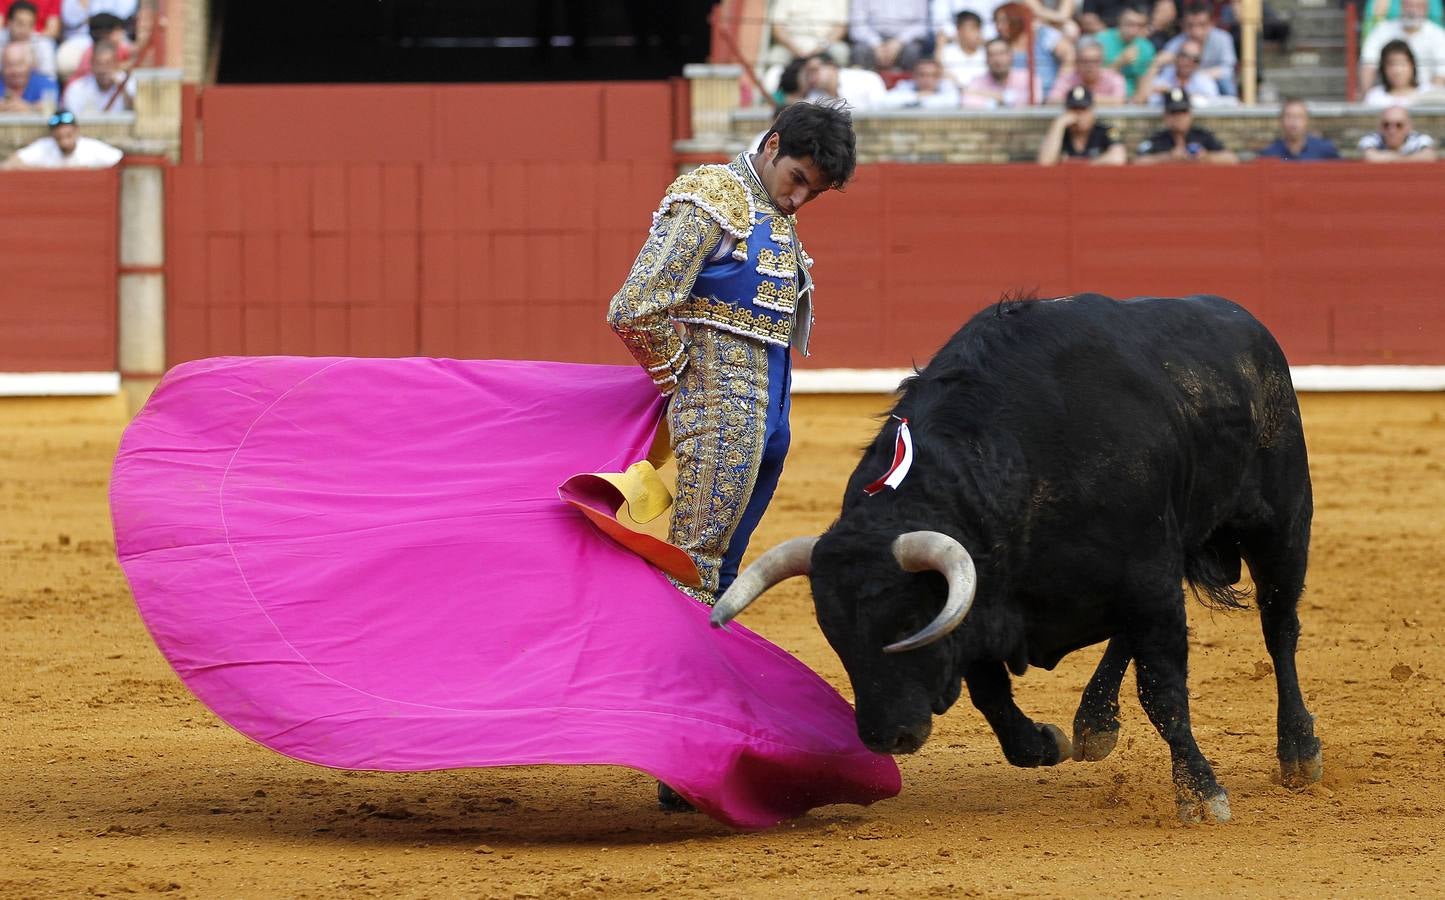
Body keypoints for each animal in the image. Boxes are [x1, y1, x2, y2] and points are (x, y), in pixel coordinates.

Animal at [708, 294, 1323, 826]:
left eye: (907, 625)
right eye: (833, 635)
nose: (884, 737)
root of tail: (1243, 320)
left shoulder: (1146, 578)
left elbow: (1164, 692)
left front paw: (1200, 793)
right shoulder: (982, 599)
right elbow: (989, 690)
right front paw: (1041, 743)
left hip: (1280, 524)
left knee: (1279, 628)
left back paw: (1298, 751)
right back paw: (1094, 722)